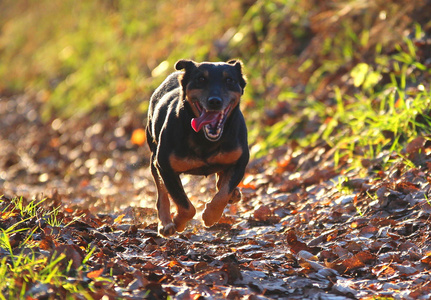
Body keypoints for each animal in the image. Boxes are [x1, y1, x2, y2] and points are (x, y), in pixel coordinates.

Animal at [147, 59, 250, 237]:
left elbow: (224, 192)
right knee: (162, 192)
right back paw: (166, 224)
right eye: (201, 79)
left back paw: (234, 194)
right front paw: (178, 222)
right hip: (153, 154)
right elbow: (184, 204)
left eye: (229, 80)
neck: (205, 139)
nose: (214, 101)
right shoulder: (165, 167)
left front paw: (210, 216)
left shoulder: (240, 162)